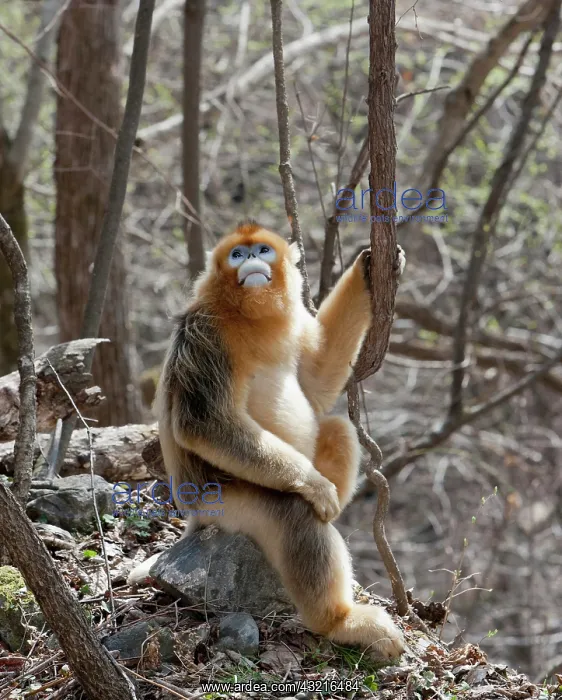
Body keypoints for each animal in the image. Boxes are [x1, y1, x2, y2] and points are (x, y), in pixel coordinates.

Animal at [129, 220, 406, 659]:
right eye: (237, 255)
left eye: (262, 250)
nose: (251, 261)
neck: (246, 314)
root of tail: (193, 518)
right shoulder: (205, 335)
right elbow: (204, 424)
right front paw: (314, 485)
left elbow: (316, 380)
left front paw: (367, 268)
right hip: (228, 506)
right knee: (295, 515)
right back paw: (339, 622)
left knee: (338, 428)